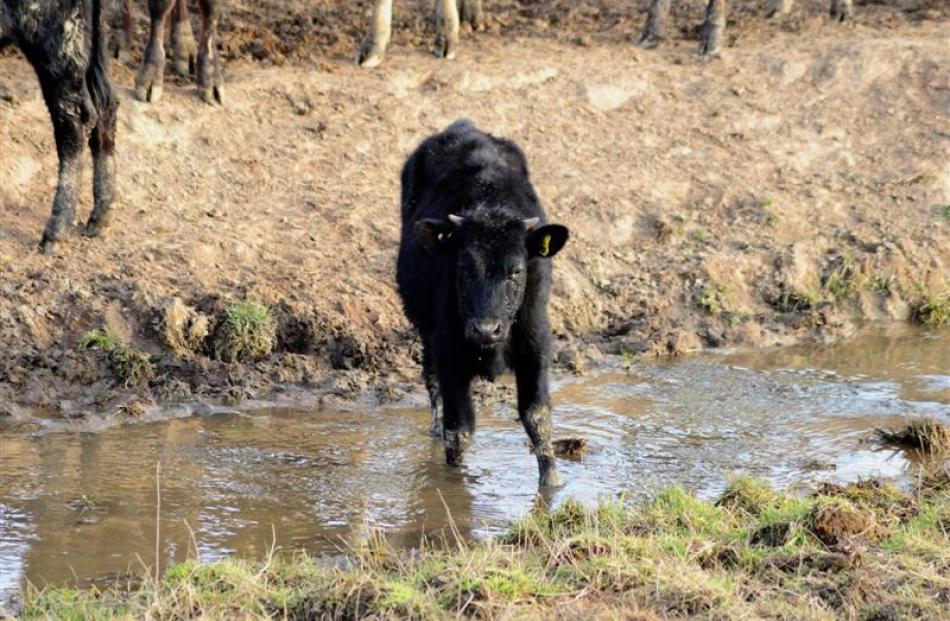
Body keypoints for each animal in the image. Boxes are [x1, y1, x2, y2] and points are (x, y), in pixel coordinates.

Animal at [0, 0, 119, 253]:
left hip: (56, 43)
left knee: (72, 122)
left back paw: (56, 232)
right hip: (92, 38)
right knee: (105, 104)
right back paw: (99, 218)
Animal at [396, 121, 568, 486]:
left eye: (516, 271)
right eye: (463, 268)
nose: (486, 329)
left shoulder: (536, 345)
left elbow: (538, 417)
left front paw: (552, 483)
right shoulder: (449, 350)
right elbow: (458, 430)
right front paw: (453, 484)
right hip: (426, 329)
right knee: (431, 381)